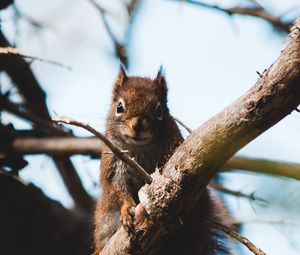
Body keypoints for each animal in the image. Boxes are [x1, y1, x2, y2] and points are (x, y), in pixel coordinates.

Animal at [92, 67, 231, 255]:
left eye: (159, 110)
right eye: (119, 107)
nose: (137, 126)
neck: (140, 147)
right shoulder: (113, 162)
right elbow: (115, 187)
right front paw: (127, 210)